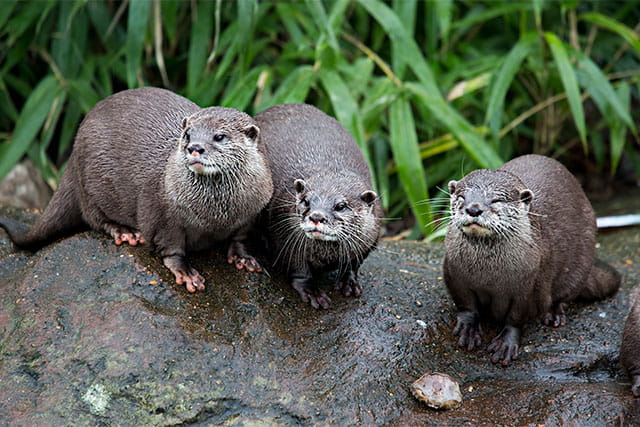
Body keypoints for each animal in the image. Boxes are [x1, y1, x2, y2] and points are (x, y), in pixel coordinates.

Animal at [0, 87, 273, 292]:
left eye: (219, 136)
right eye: (187, 134)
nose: (194, 147)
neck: (217, 214)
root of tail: (74, 151)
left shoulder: (252, 210)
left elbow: (239, 237)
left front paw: (243, 257)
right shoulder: (163, 214)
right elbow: (170, 247)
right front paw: (185, 272)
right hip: (90, 182)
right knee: (94, 218)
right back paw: (124, 232)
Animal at [255, 103, 382, 309]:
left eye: (340, 206)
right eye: (306, 201)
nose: (316, 216)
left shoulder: (369, 239)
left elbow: (353, 264)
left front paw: (349, 282)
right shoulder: (285, 236)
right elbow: (298, 268)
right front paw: (312, 292)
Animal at [443, 154, 620, 365]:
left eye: (496, 200)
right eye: (462, 197)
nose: (473, 209)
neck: (488, 275)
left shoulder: (531, 287)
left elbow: (516, 318)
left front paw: (506, 343)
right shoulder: (454, 274)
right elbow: (466, 305)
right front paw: (469, 329)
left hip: (581, 264)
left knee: (565, 296)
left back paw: (553, 314)